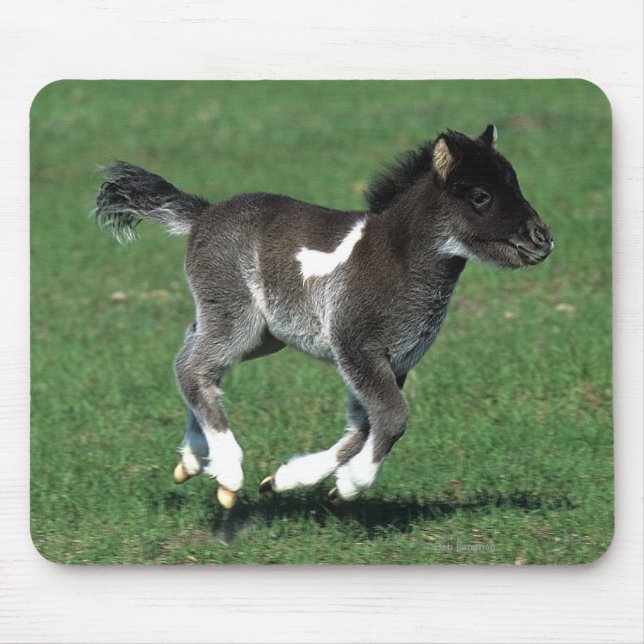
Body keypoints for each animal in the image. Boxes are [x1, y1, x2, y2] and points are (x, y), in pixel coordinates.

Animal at [95, 124, 554, 509]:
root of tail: (203, 215)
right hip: (238, 318)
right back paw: (228, 472)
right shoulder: (356, 345)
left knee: (194, 353)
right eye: (480, 196)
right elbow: (392, 417)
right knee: (191, 367)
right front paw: (350, 485)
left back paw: (193, 459)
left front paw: (285, 480)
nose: (543, 239)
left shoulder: (395, 360)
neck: (398, 260)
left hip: (262, 334)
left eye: (516, 183)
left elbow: (363, 428)